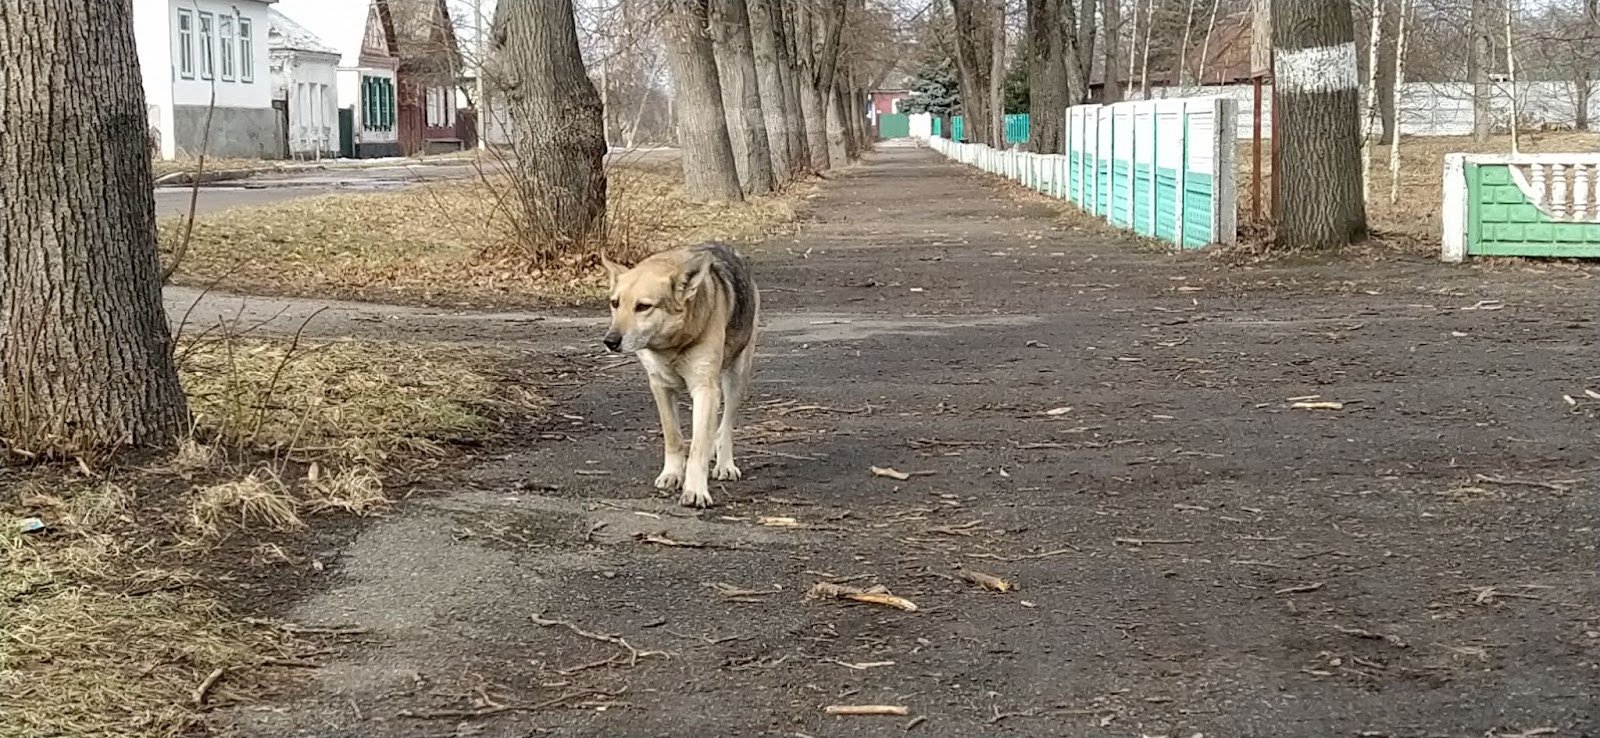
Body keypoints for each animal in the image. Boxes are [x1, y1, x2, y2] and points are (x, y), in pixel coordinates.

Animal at [601, 241, 758, 505]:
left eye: (643, 307)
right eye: (615, 303)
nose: (610, 341)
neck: (671, 345)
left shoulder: (705, 389)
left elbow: (698, 448)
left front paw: (695, 489)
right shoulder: (660, 386)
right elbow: (673, 437)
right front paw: (672, 474)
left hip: (737, 376)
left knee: (726, 425)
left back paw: (725, 464)